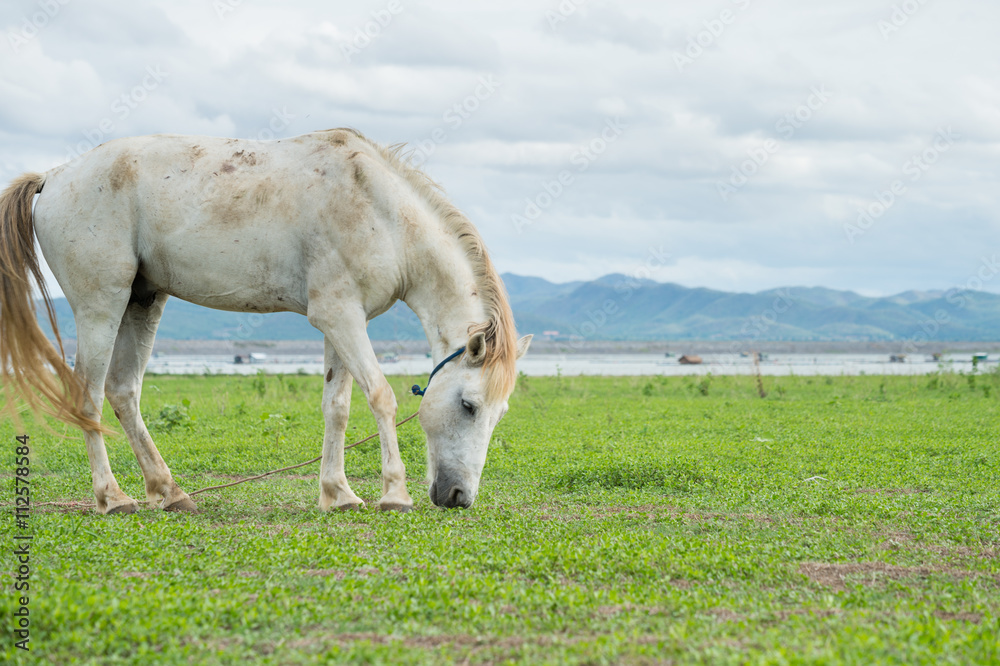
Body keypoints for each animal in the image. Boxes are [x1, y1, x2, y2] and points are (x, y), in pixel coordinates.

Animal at [0, 128, 531, 514]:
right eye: (468, 406)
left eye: (499, 413)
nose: (459, 497)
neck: (382, 211)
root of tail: (55, 176)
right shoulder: (341, 316)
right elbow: (380, 395)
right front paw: (393, 494)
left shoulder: (341, 321)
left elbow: (337, 406)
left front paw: (339, 494)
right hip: (101, 306)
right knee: (88, 397)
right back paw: (113, 498)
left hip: (142, 302)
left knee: (123, 392)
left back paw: (169, 492)